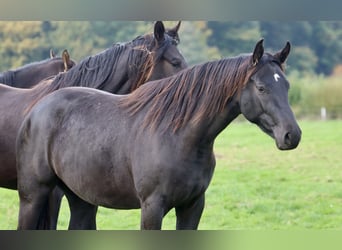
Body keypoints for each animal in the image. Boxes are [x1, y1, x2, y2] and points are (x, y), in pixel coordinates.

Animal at [17, 38, 302, 229]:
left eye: (287, 85)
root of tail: (36, 108)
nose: (292, 135)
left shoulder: (192, 206)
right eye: (262, 88)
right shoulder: (153, 207)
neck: (180, 137)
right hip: (33, 196)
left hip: (81, 199)